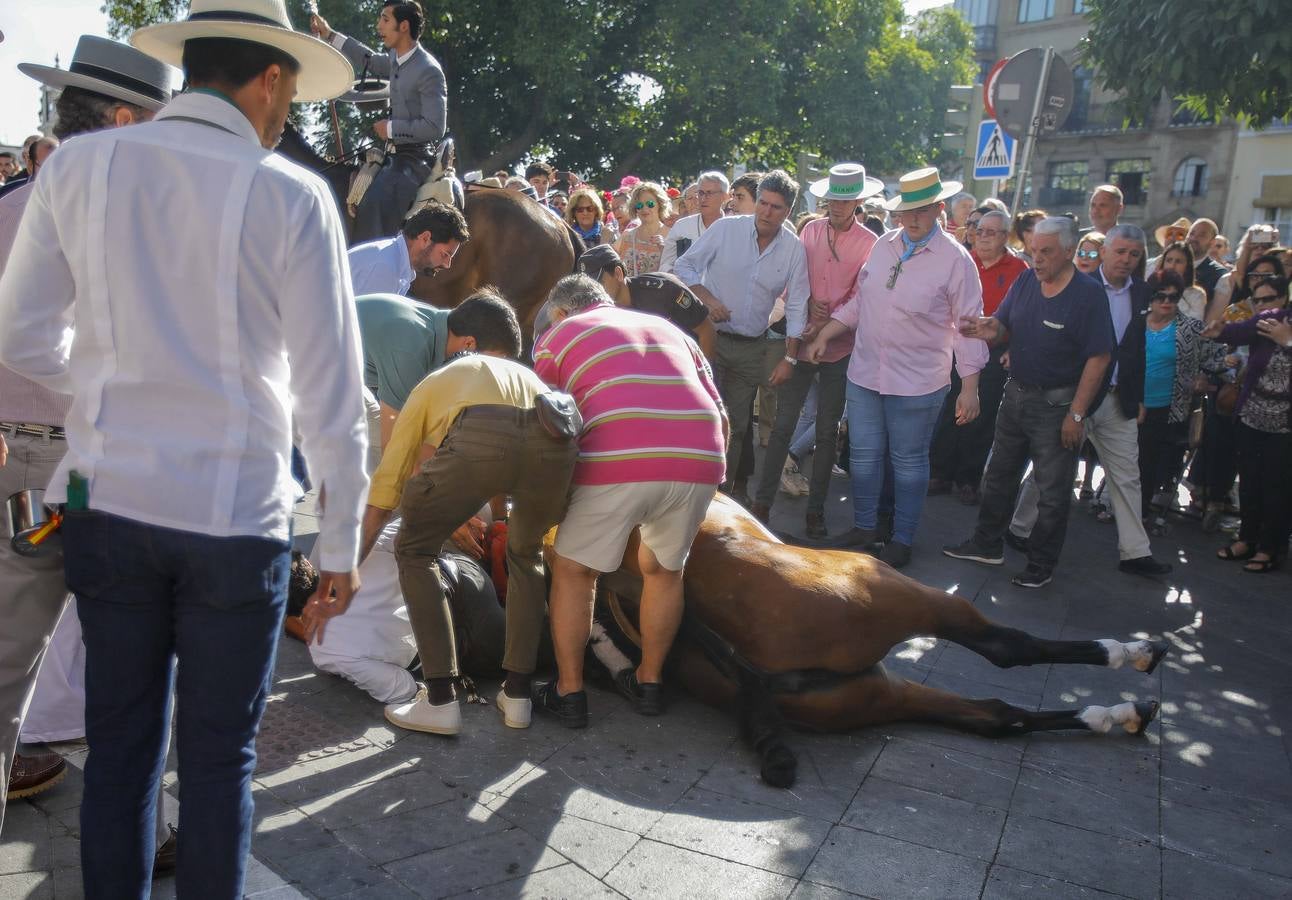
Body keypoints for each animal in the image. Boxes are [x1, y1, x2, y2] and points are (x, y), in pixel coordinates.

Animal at [571, 490, 1167, 785]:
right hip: (905, 598)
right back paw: (1135, 660)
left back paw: (1118, 713)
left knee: (997, 716)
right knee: (1006, 650)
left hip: (876, 694)